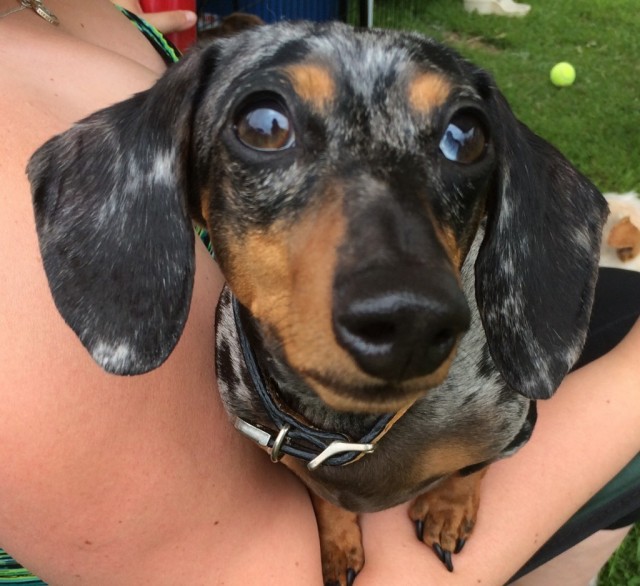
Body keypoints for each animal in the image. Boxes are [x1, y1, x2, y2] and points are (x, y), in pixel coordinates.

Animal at [28, 20, 608, 580]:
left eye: (466, 134)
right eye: (263, 125)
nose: (410, 321)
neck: (349, 429)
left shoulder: (514, 425)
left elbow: (473, 467)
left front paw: (448, 508)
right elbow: (323, 499)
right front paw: (338, 544)